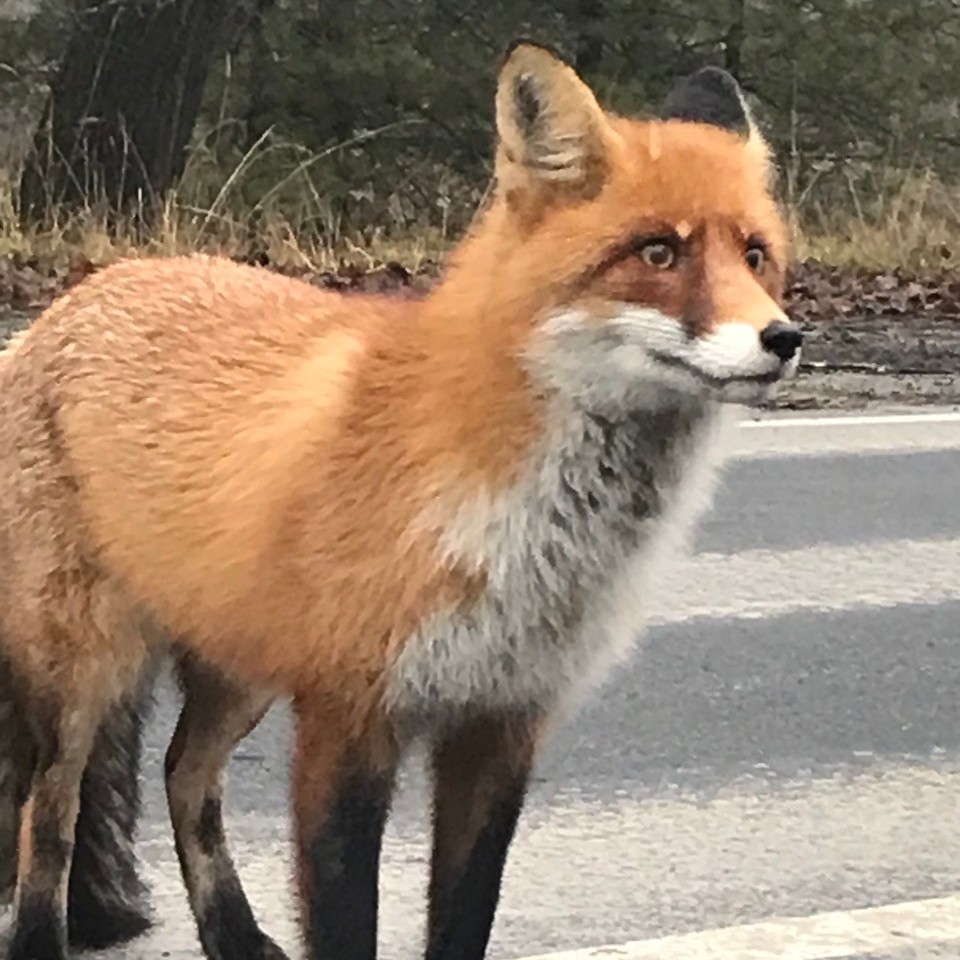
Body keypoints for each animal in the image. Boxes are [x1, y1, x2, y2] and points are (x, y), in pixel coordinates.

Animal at [0, 41, 800, 960]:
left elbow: (463, 918)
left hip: (239, 673)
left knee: (181, 776)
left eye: (755, 255)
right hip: (84, 674)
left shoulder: (500, 726)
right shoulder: (350, 720)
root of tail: (74, 299)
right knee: (48, 814)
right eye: (659, 253)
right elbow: (349, 921)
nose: (784, 339)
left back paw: (236, 936)